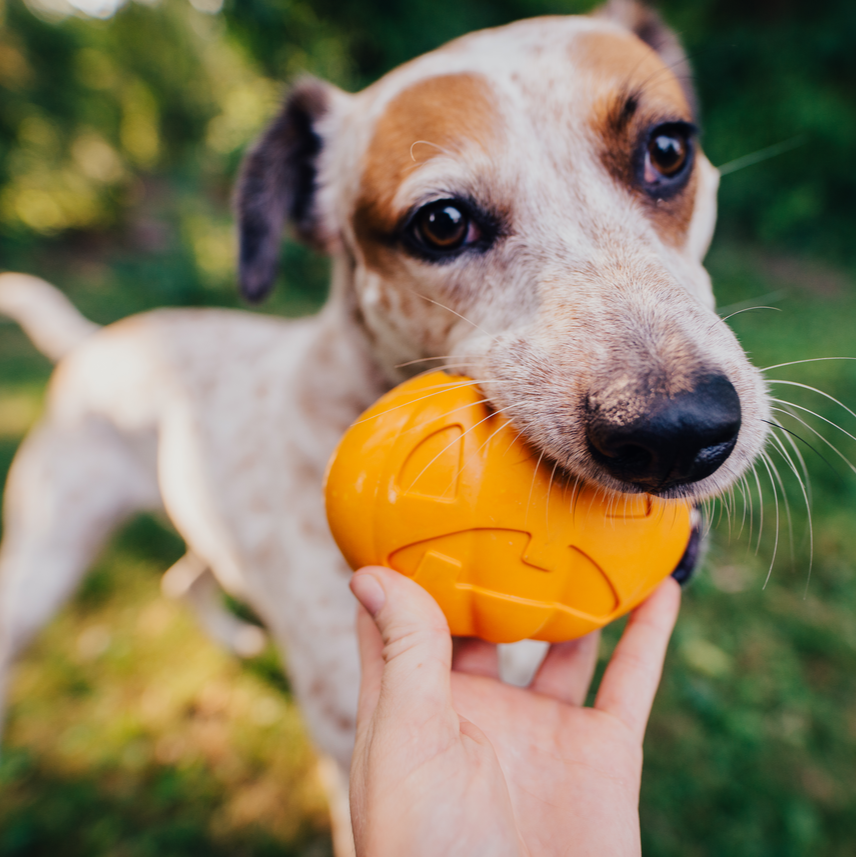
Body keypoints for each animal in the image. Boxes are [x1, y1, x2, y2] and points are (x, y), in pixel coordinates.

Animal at [0, 3, 772, 852]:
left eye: (667, 149)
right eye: (441, 223)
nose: (679, 432)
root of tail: (90, 343)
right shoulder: (348, 755)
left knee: (182, 576)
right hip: (43, 561)